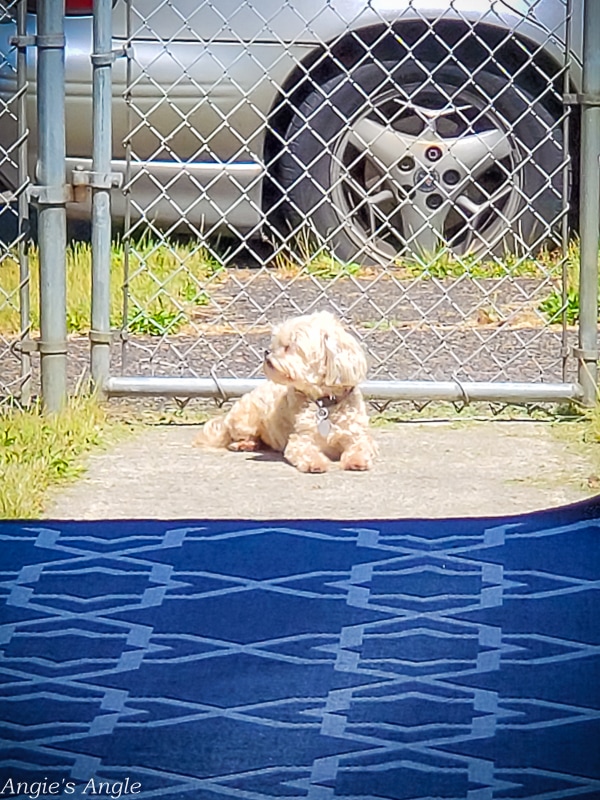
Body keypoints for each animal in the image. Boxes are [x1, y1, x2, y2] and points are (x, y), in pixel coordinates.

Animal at [197, 310, 376, 472]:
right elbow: (306, 451)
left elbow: (361, 446)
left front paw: (357, 461)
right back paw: (244, 443)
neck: (325, 402)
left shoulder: (357, 435)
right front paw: (315, 463)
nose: (267, 351)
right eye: (276, 344)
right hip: (245, 419)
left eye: (289, 346)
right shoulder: (300, 439)